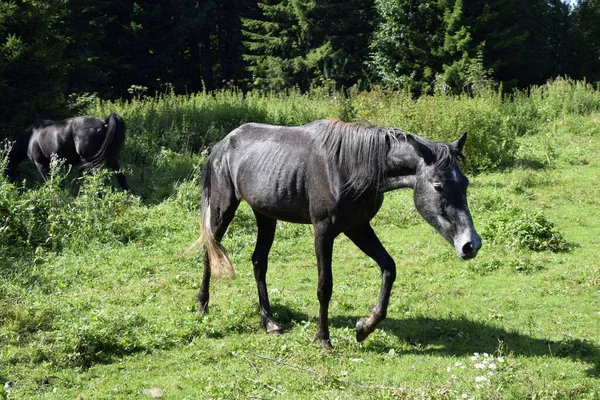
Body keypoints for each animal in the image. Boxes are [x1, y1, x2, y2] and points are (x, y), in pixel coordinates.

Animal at [199, 119, 480, 346]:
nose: (471, 245)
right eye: (438, 186)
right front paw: (323, 338)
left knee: (259, 262)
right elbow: (325, 286)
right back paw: (202, 305)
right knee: (209, 251)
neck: (350, 165)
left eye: (465, 183)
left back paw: (269, 322)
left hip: (265, 216)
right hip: (223, 208)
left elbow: (389, 267)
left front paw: (365, 327)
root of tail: (221, 145)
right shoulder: (323, 231)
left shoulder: (358, 227)